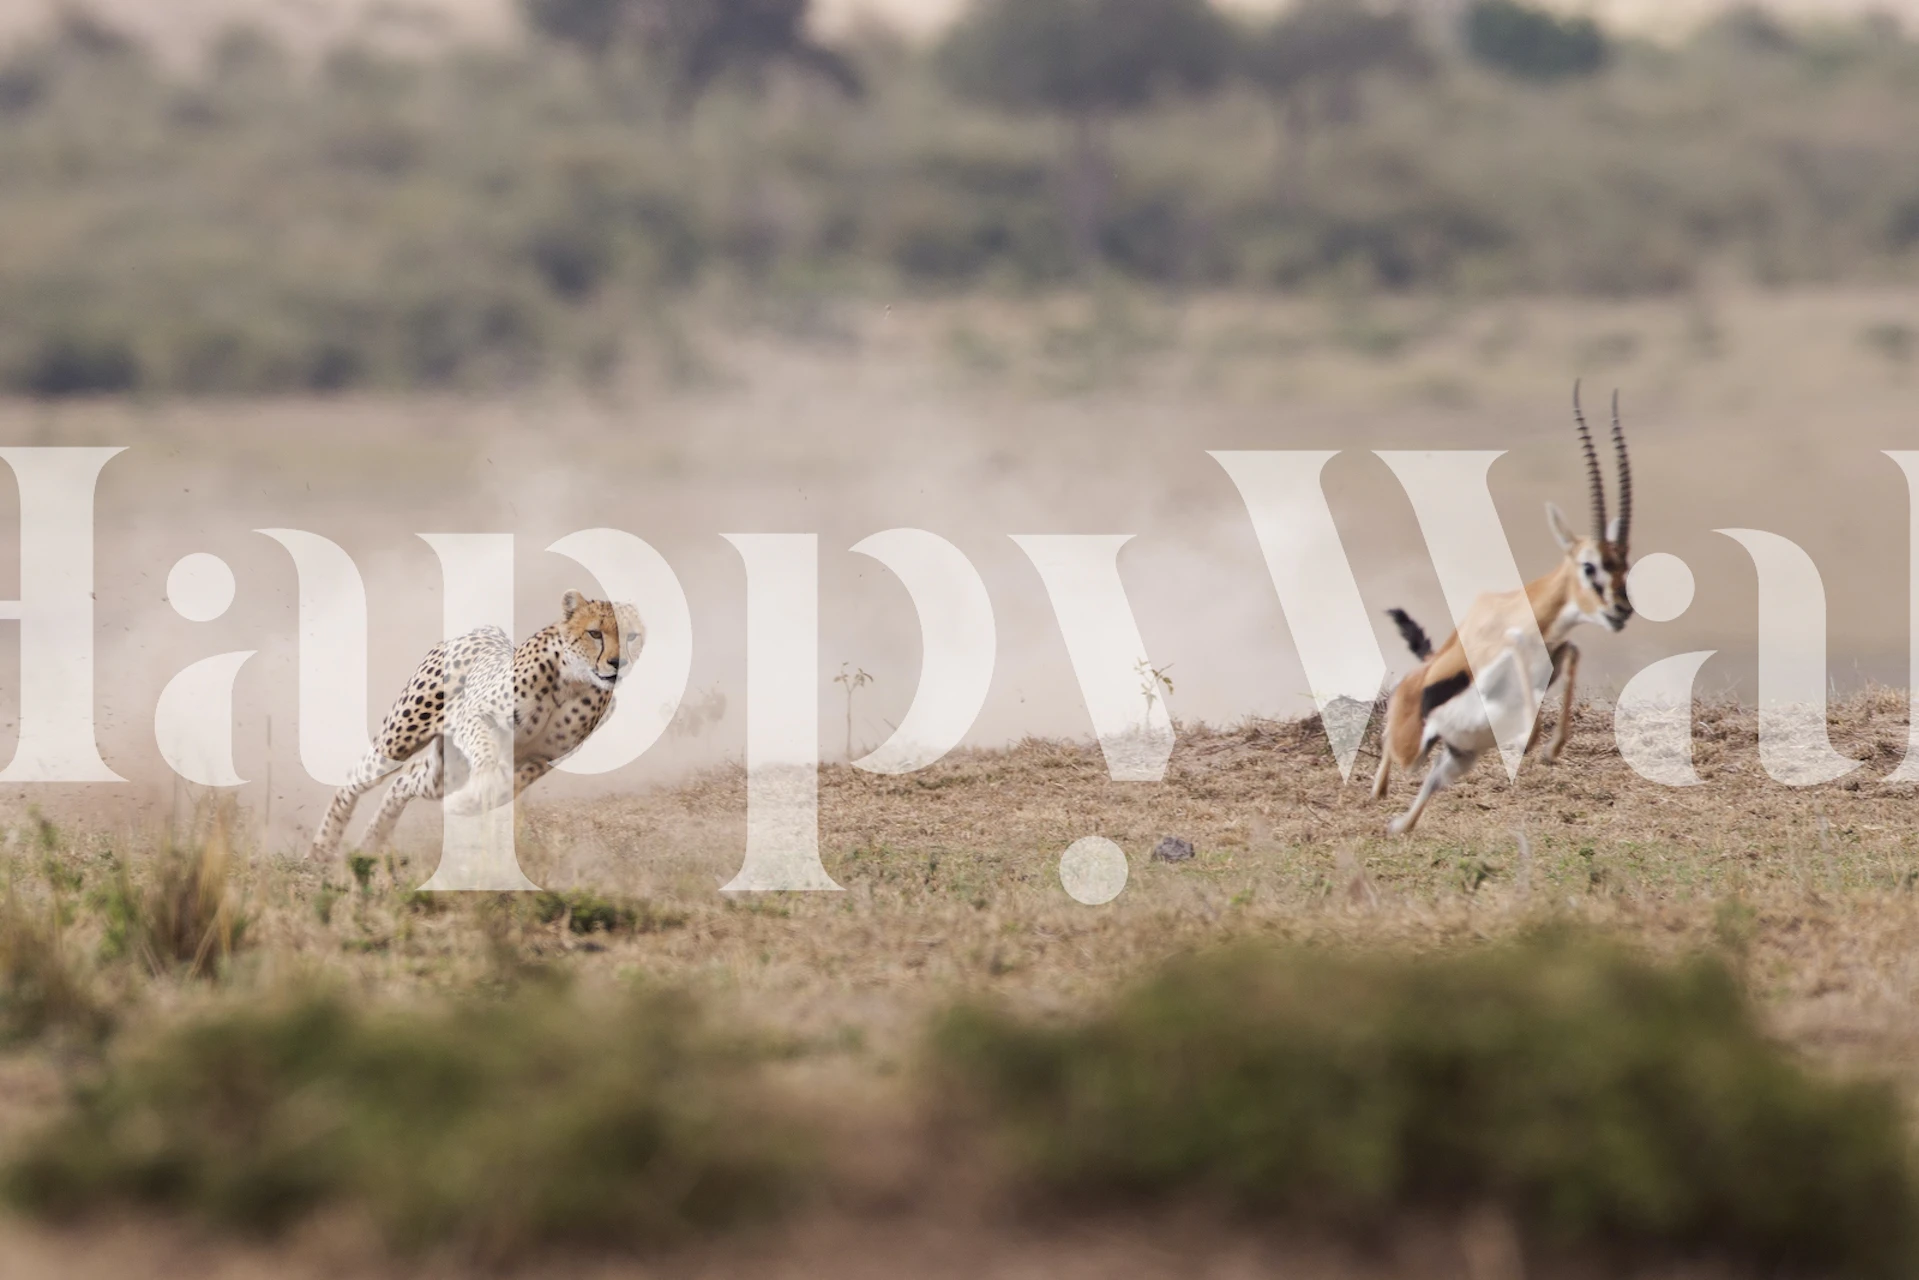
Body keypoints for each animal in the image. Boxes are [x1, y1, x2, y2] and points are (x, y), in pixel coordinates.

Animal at [307, 589, 644, 862]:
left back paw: (370, 843)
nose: (618, 663)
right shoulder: (472, 716)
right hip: (400, 736)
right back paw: (322, 849)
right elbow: (486, 751)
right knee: (355, 779)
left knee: (405, 780)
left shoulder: (543, 758)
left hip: (444, 774)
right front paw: (481, 781)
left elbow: (507, 786)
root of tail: (482, 630)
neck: (573, 683)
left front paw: (467, 801)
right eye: (595, 633)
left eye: (632, 636)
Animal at [1372, 383, 1635, 835]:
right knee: (1394, 748)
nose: (1621, 610)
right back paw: (1380, 791)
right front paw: (1533, 741)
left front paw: (1552, 748)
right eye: (1590, 565)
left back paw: (1398, 825)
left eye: (1624, 565)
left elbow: (1573, 652)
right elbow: (1518, 655)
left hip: (1458, 756)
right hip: (1415, 747)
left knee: (1429, 782)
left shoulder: (1556, 654)